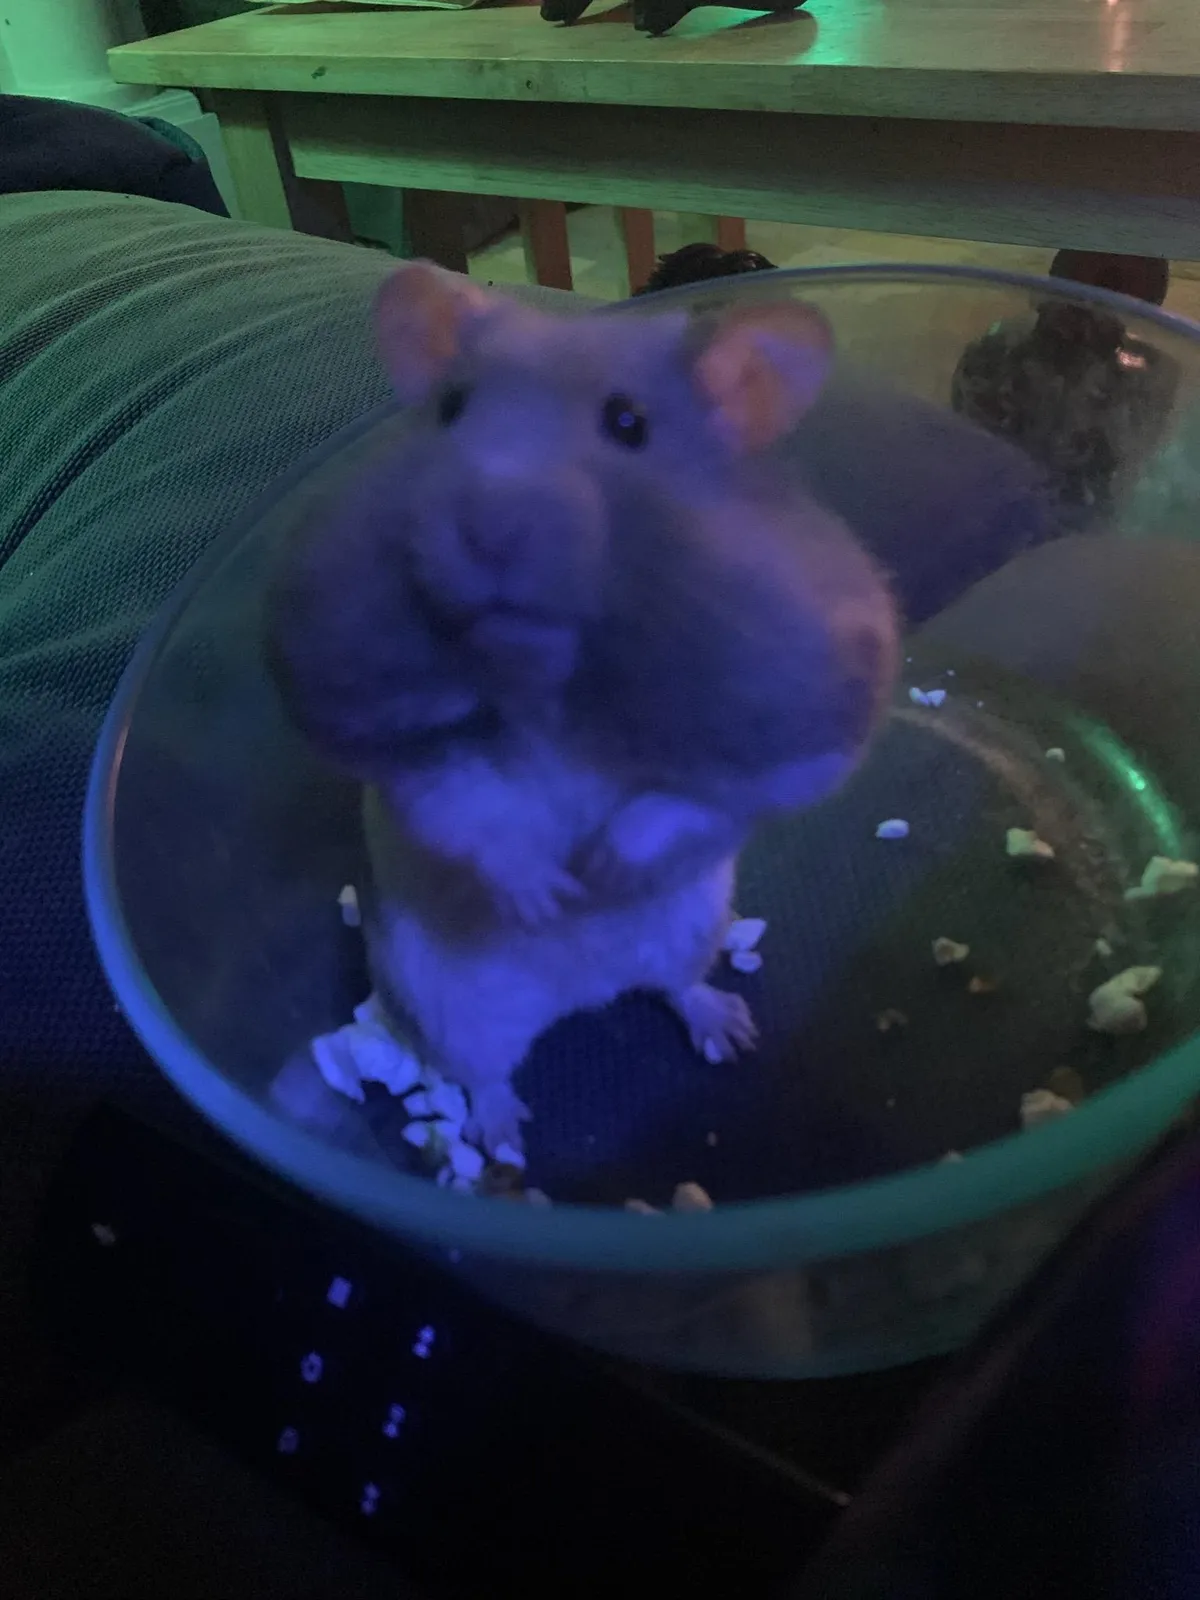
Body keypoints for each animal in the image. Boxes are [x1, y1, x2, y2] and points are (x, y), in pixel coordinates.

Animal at [266, 262, 899, 1157]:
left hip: (691, 929)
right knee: (486, 1074)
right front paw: (548, 897)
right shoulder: (403, 753)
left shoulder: (797, 728)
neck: (552, 685)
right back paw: (500, 1138)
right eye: (452, 409)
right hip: (450, 1006)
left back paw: (726, 1029)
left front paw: (598, 872)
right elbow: (472, 809)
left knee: (675, 987)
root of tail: (586, 993)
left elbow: (679, 800)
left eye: (628, 424)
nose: (489, 525)